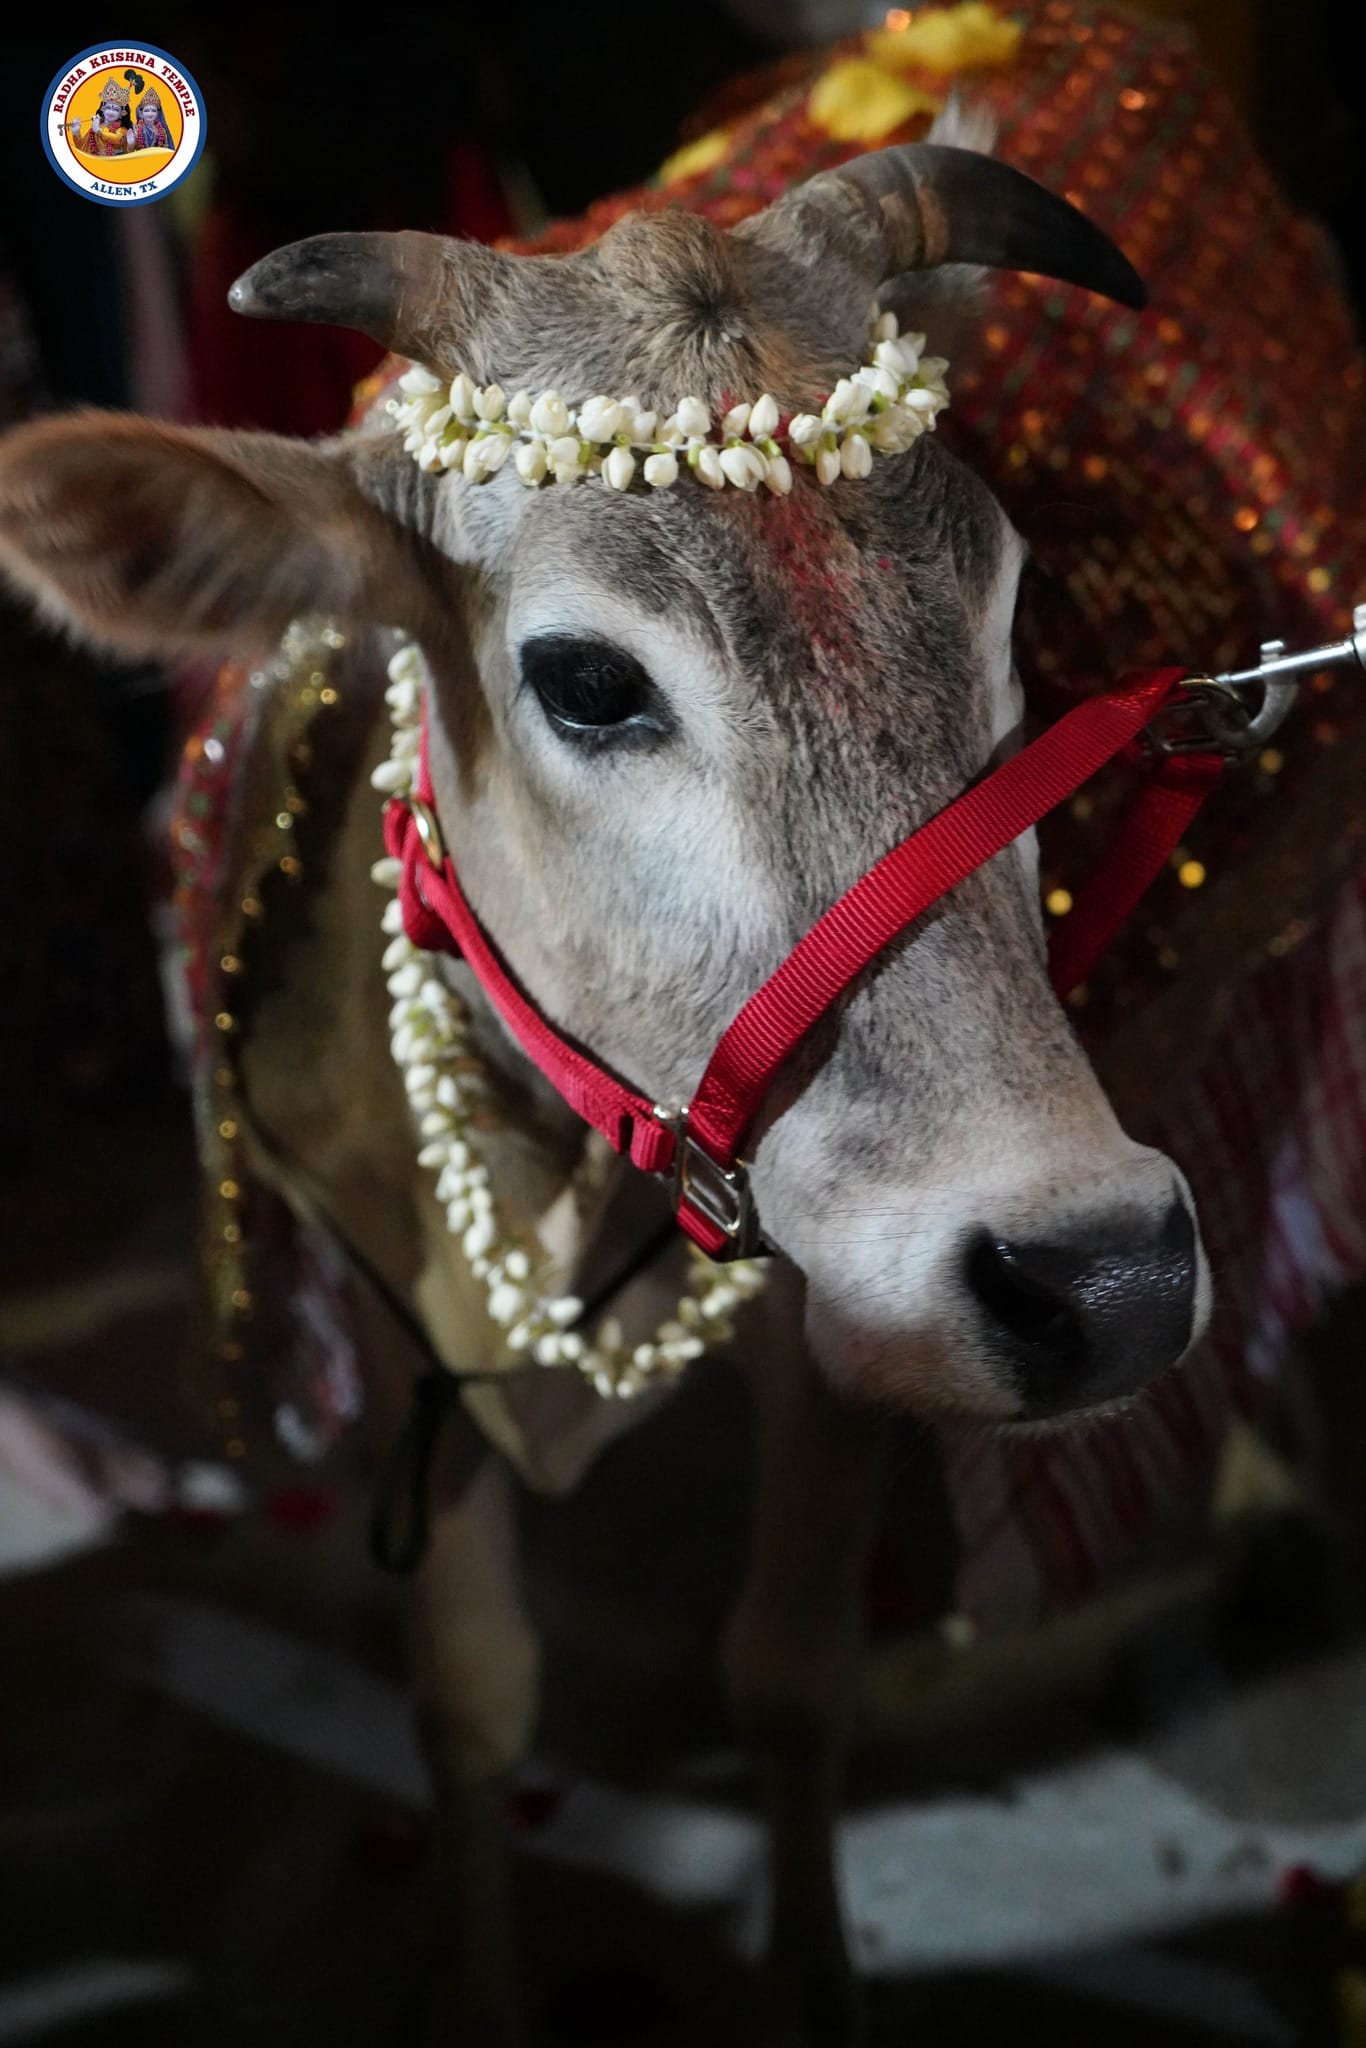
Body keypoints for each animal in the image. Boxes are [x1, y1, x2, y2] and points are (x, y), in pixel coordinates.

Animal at [0, 112, 1220, 2048]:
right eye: (582, 679)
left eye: (1012, 610)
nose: (1099, 1274)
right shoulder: (402, 1312)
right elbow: (472, 1702)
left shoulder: (846, 1312)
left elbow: (787, 1676)